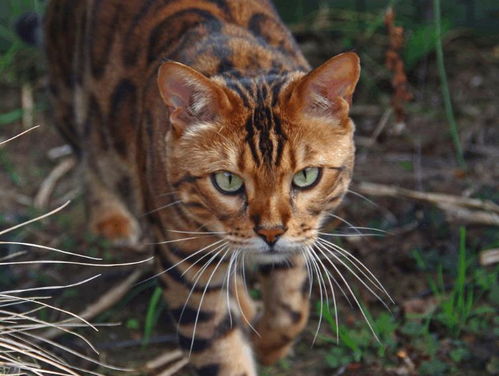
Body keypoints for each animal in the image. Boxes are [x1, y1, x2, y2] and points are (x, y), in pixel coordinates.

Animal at [45, 0, 362, 374]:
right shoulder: (184, 261)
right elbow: (218, 349)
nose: (270, 233)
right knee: (87, 151)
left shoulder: (300, 237)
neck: (243, 62)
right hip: (71, 95)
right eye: (227, 181)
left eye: (306, 176)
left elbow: (290, 308)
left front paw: (267, 343)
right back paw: (109, 219)